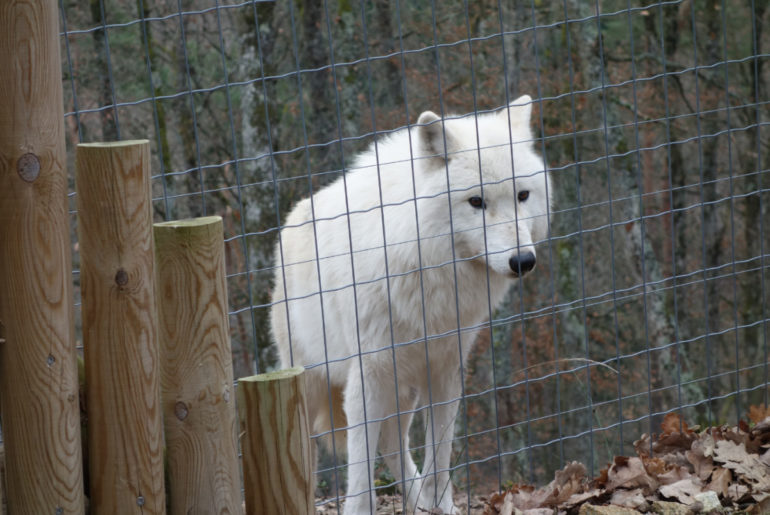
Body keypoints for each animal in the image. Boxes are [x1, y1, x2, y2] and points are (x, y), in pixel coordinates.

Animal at [268, 95, 544, 512]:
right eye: (476, 201)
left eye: (522, 196)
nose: (523, 261)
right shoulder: (368, 375)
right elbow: (360, 472)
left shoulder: (445, 367)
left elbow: (439, 456)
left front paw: (442, 507)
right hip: (314, 383)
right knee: (323, 452)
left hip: (404, 390)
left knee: (393, 445)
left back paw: (418, 505)